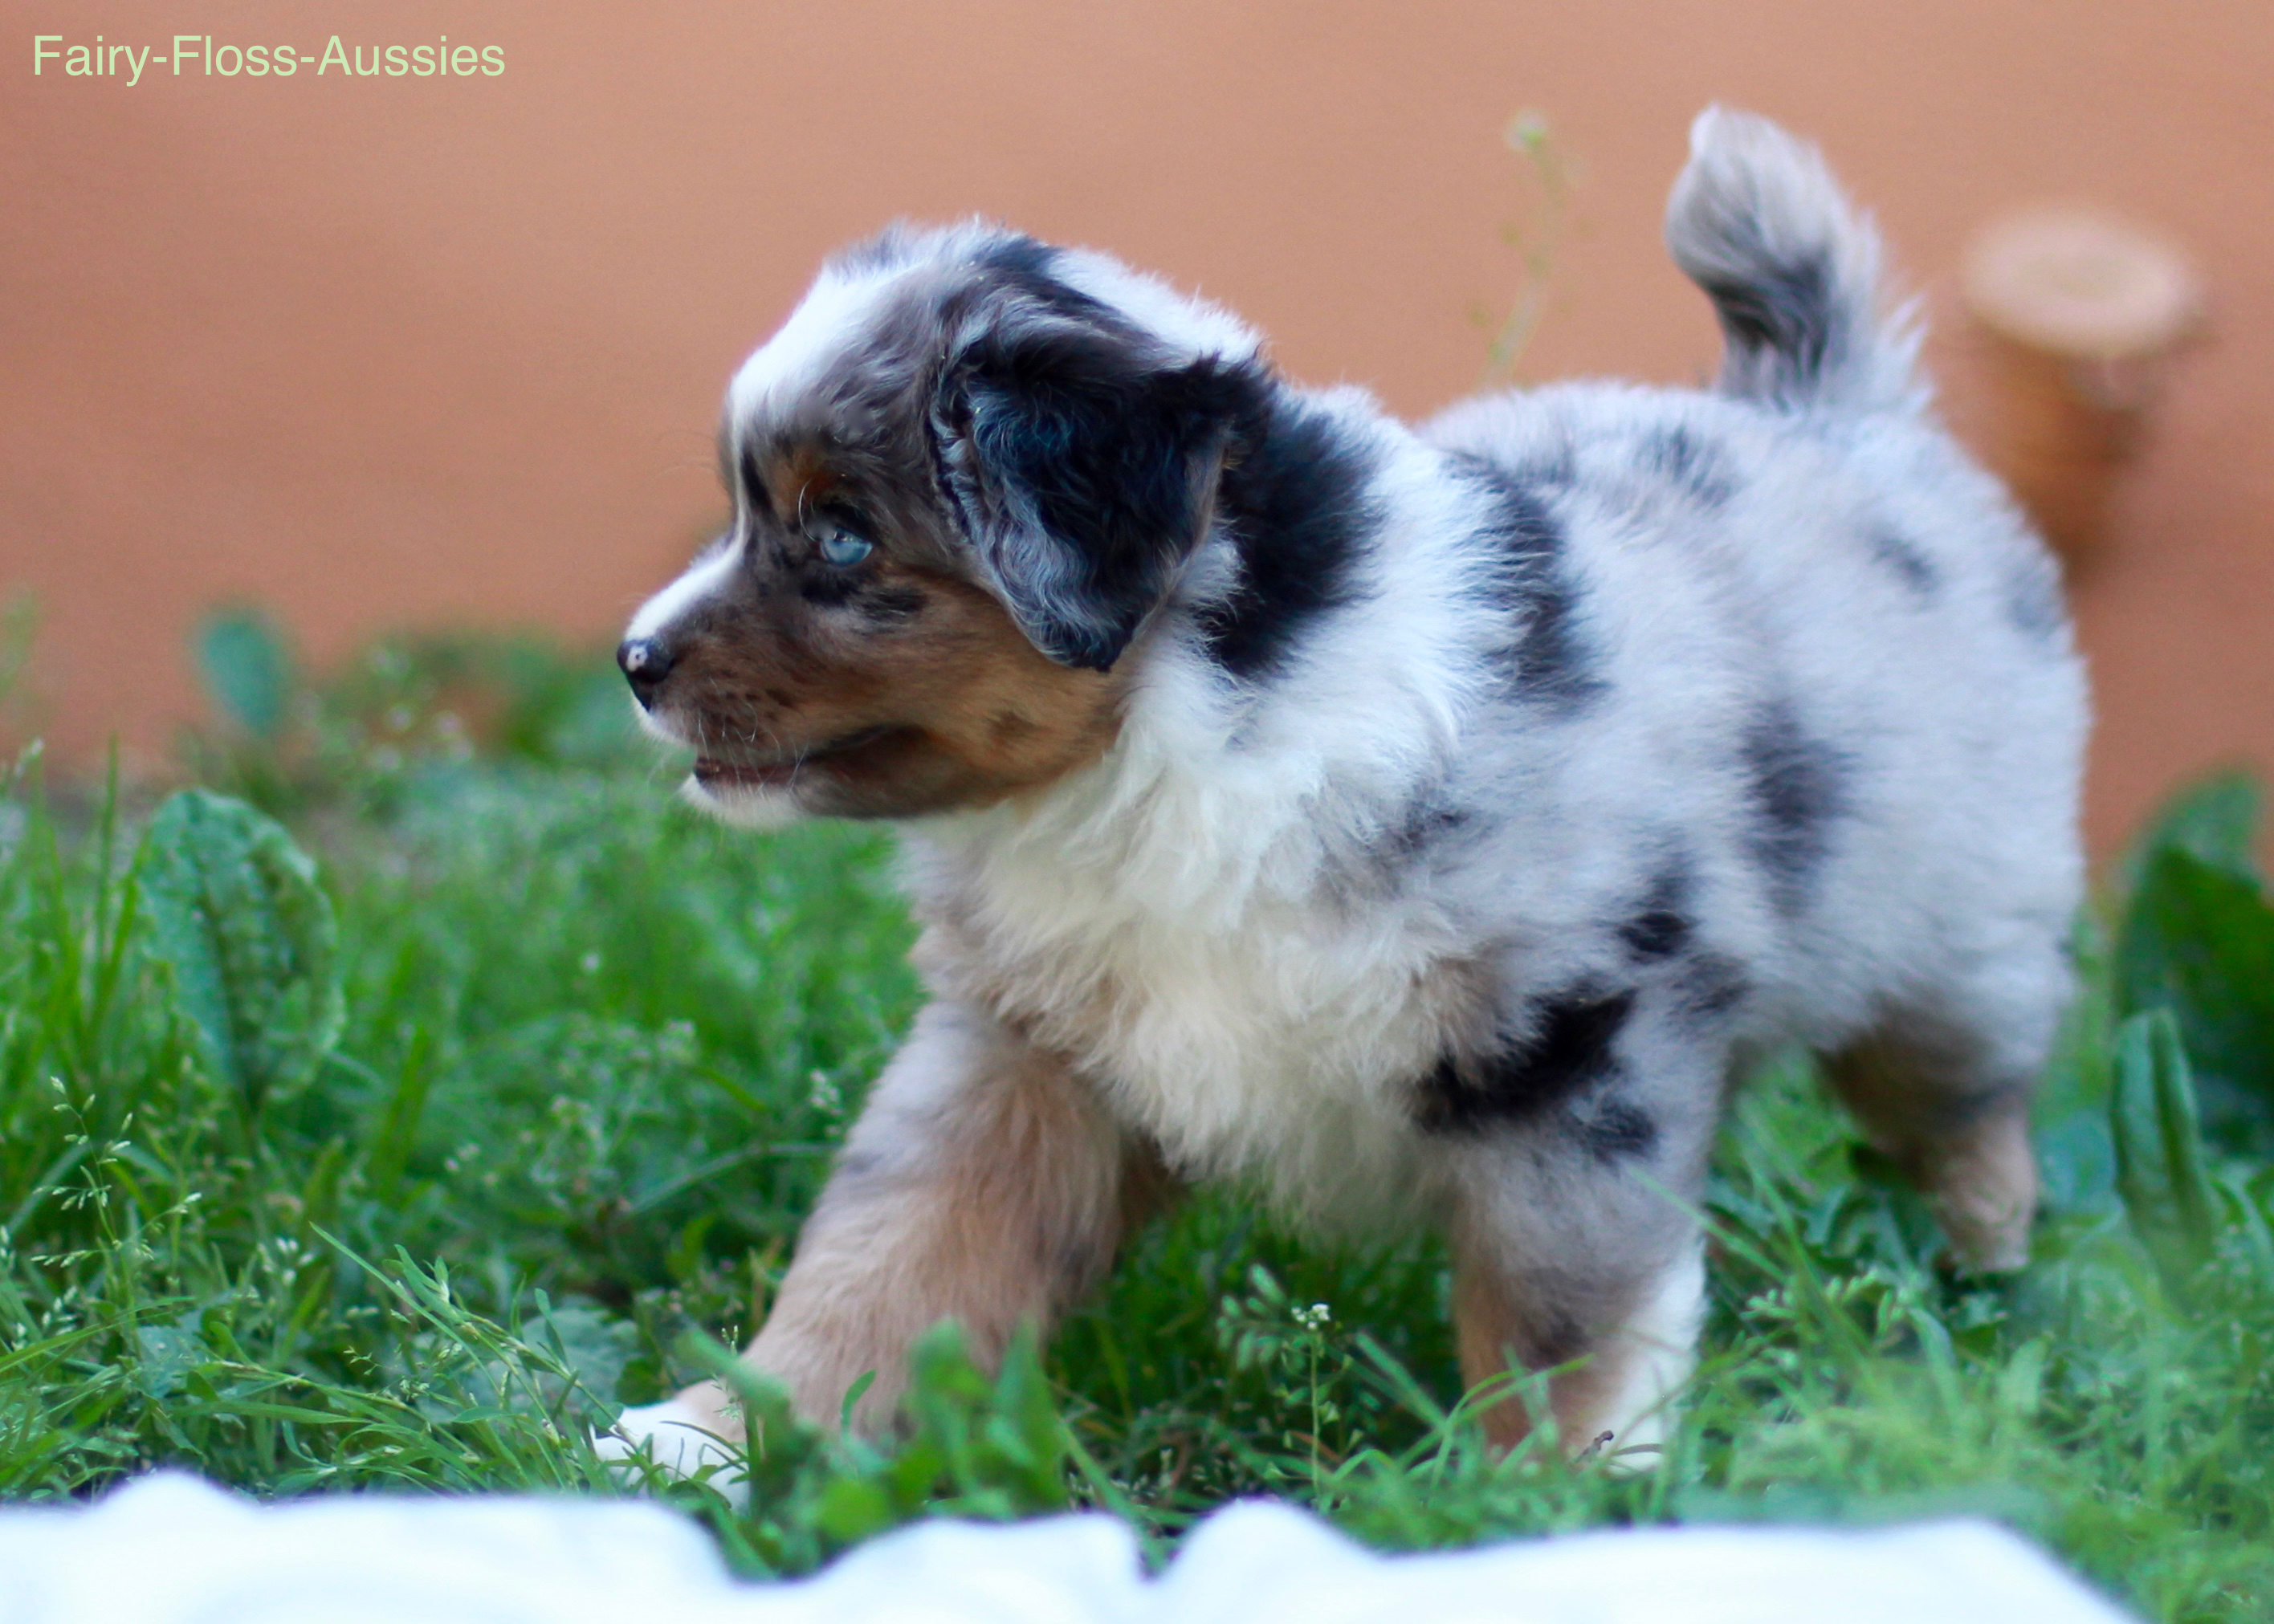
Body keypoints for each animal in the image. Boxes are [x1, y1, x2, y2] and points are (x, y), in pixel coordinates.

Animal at [609, 107, 2092, 1464]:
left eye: (842, 538)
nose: (633, 660)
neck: (1178, 742)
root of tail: (1827, 409)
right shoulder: (1022, 1056)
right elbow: (890, 1250)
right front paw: (712, 1436)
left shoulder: (1573, 1045)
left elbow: (1563, 1314)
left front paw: (1545, 1501)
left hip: (1953, 945)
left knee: (1970, 1113)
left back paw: (1985, 1297)